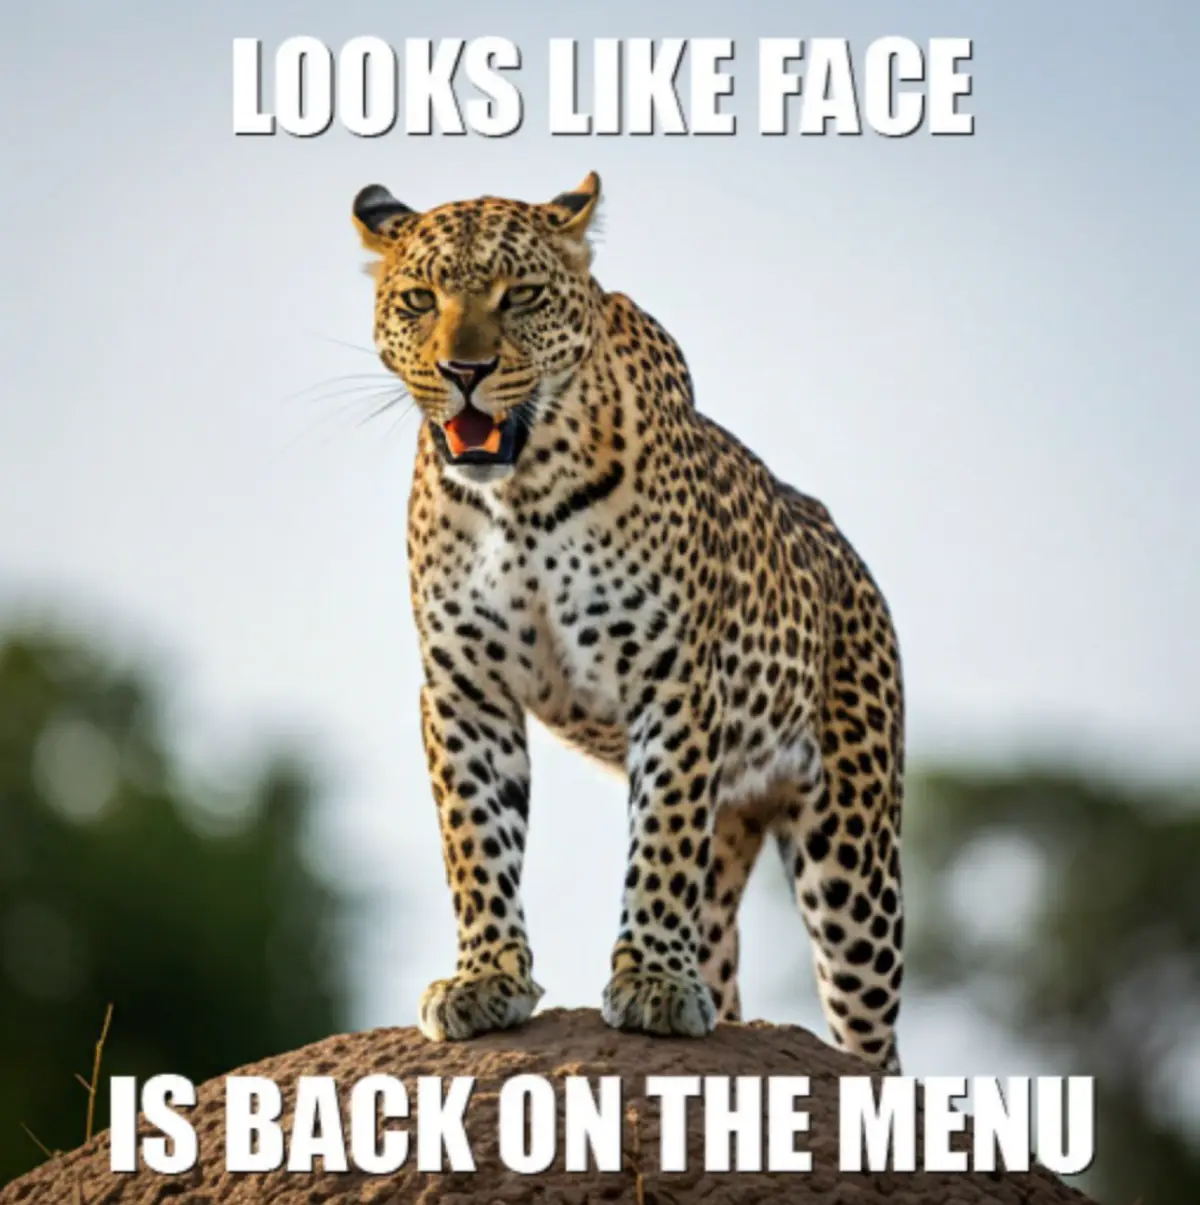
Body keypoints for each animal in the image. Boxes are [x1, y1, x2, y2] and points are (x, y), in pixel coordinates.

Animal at [351, 172, 907, 1071]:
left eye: (521, 295)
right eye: (418, 299)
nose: (463, 370)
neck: (522, 494)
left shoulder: (672, 680)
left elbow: (660, 843)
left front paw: (650, 981)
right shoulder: (465, 689)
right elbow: (476, 837)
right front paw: (485, 977)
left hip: (853, 857)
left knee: (873, 1032)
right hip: (740, 829)